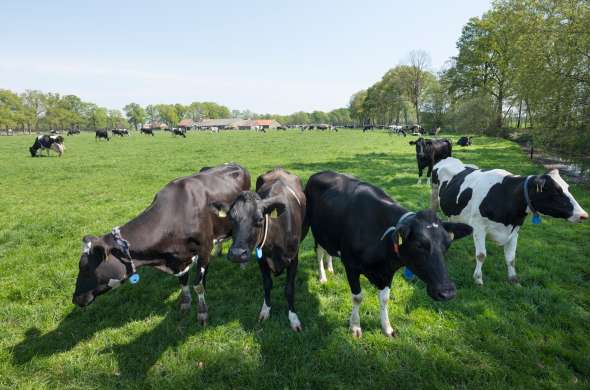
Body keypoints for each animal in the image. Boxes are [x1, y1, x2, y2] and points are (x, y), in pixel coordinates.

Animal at [209, 168, 310, 332]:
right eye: (231, 219)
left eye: (260, 219)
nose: (237, 254)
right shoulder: (261, 259)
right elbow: (267, 284)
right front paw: (265, 311)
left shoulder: (294, 258)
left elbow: (289, 289)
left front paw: (293, 318)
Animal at [308, 172, 474, 336]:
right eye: (419, 245)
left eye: (448, 244)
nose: (447, 292)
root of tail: (320, 173)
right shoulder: (351, 265)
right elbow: (357, 297)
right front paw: (355, 326)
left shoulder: (387, 272)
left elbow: (385, 299)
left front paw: (387, 327)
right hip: (317, 233)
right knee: (319, 253)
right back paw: (323, 276)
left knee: (328, 251)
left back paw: (330, 268)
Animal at [432, 156, 588, 286]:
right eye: (556, 191)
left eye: (567, 188)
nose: (584, 215)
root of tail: (448, 158)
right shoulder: (479, 226)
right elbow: (481, 255)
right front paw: (478, 279)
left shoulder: (514, 230)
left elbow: (511, 258)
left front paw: (514, 280)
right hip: (434, 197)